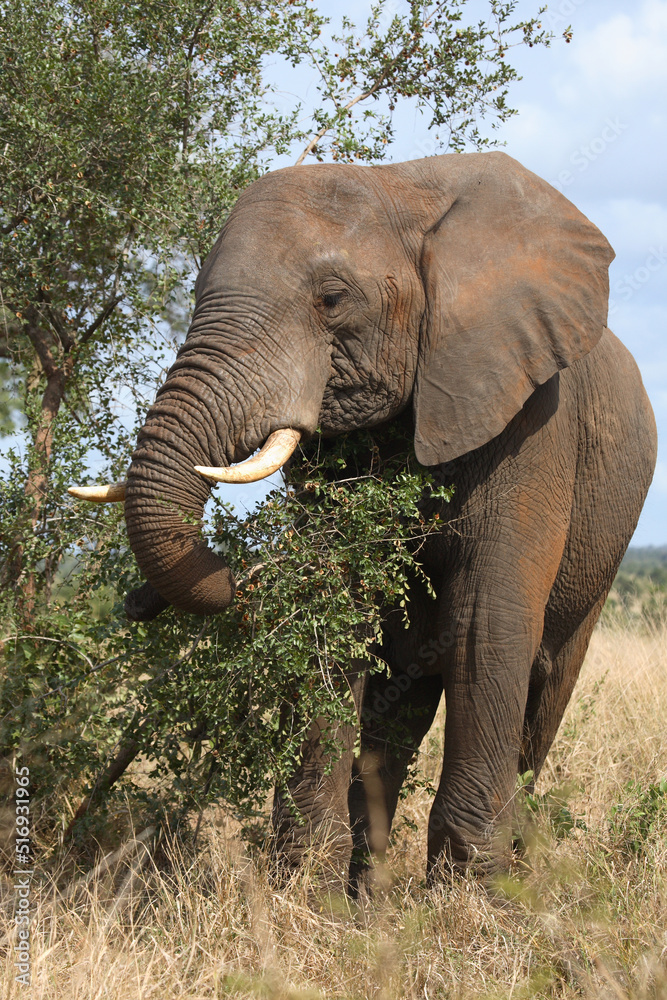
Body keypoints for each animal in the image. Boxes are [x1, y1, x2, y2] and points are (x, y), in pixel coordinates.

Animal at [70, 151, 657, 884]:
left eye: (330, 298)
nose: (134, 602)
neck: (403, 185)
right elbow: (335, 602)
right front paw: (305, 891)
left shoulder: (533, 419)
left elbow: (485, 622)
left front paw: (472, 900)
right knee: (396, 716)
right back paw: (364, 895)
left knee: (541, 697)